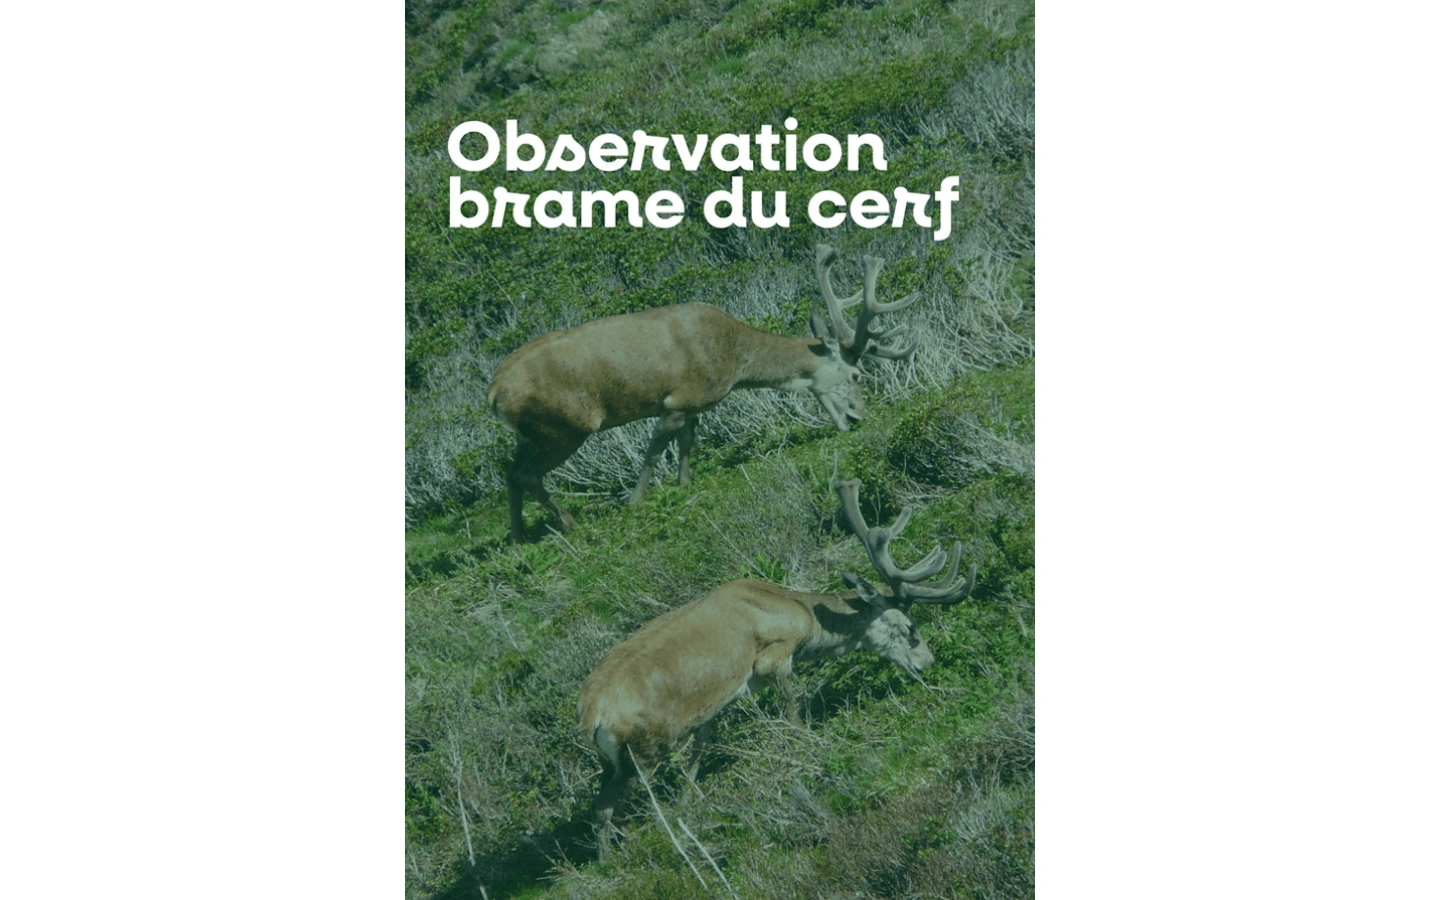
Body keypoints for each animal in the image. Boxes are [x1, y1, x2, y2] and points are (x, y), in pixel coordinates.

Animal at [487, 245, 919, 542]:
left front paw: (684, 484)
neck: (734, 360)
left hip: (531, 434)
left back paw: (519, 537)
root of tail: (493, 393)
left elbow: (686, 443)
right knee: (526, 474)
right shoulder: (677, 399)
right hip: (564, 427)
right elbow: (654, 451)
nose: (860, 416)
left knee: (510, 473)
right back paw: (568, 522)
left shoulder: (693, 405)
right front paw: (636, 499)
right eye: (857, 373)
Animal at [575, 478, 978, 861]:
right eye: (910, 627)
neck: (799, 613)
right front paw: (806, 747)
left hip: (614, 759)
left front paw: (688, 803)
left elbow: (700, 750)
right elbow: (792, 708)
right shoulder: (774, 655)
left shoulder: (714, 705)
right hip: (643, 749)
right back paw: (617, 859)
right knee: (605, 810)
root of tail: (592, 714)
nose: (927, 661)